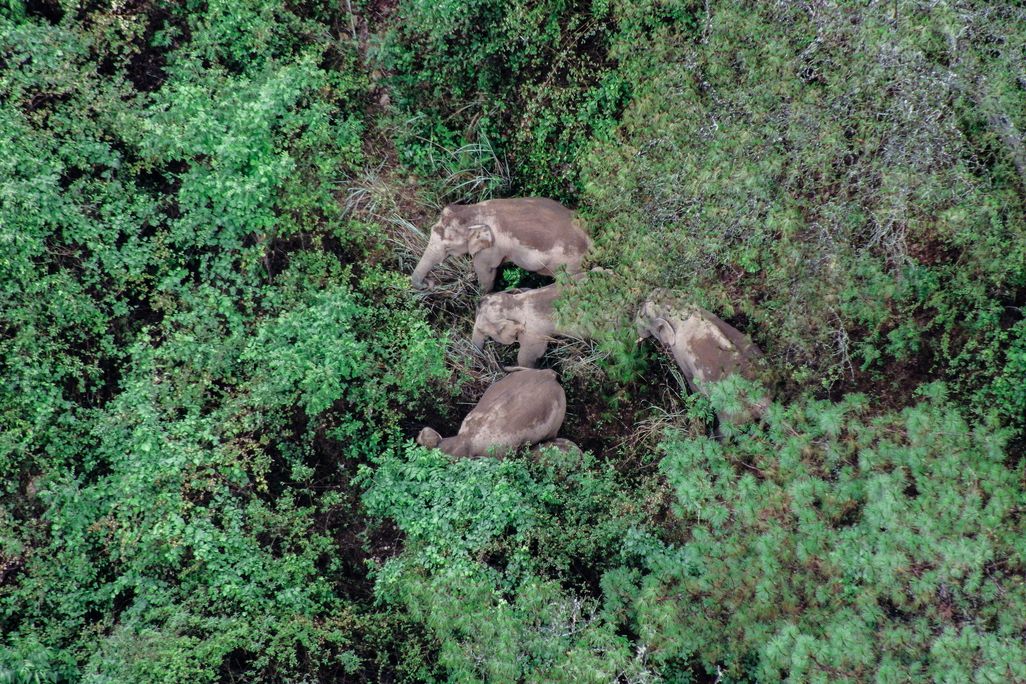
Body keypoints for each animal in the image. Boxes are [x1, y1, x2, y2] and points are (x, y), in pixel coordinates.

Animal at [410, 198, 591, 292]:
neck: (474, 211)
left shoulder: (489, 250)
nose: (431, 283)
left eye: (448, 247)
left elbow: (486, 274)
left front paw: (482, 294)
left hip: (571, 264)